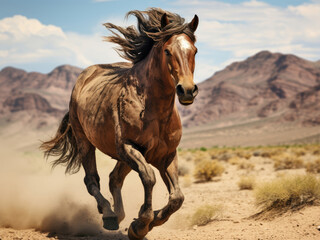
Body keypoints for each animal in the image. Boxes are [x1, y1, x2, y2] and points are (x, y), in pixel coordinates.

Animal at [41, 7, 199, 240]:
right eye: (167, 51)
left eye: (194, 51)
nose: (187, 90)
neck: (150, 106)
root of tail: (83, 78)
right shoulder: (128, 147)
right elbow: (149, 178)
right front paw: (141, 223)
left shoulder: (167, 155)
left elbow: (177, 198)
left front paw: (149, 221)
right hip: (86, 142)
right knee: (92, 180)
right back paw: (108, 214)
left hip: (123, 157)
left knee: (113, 178)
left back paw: (119, 214)